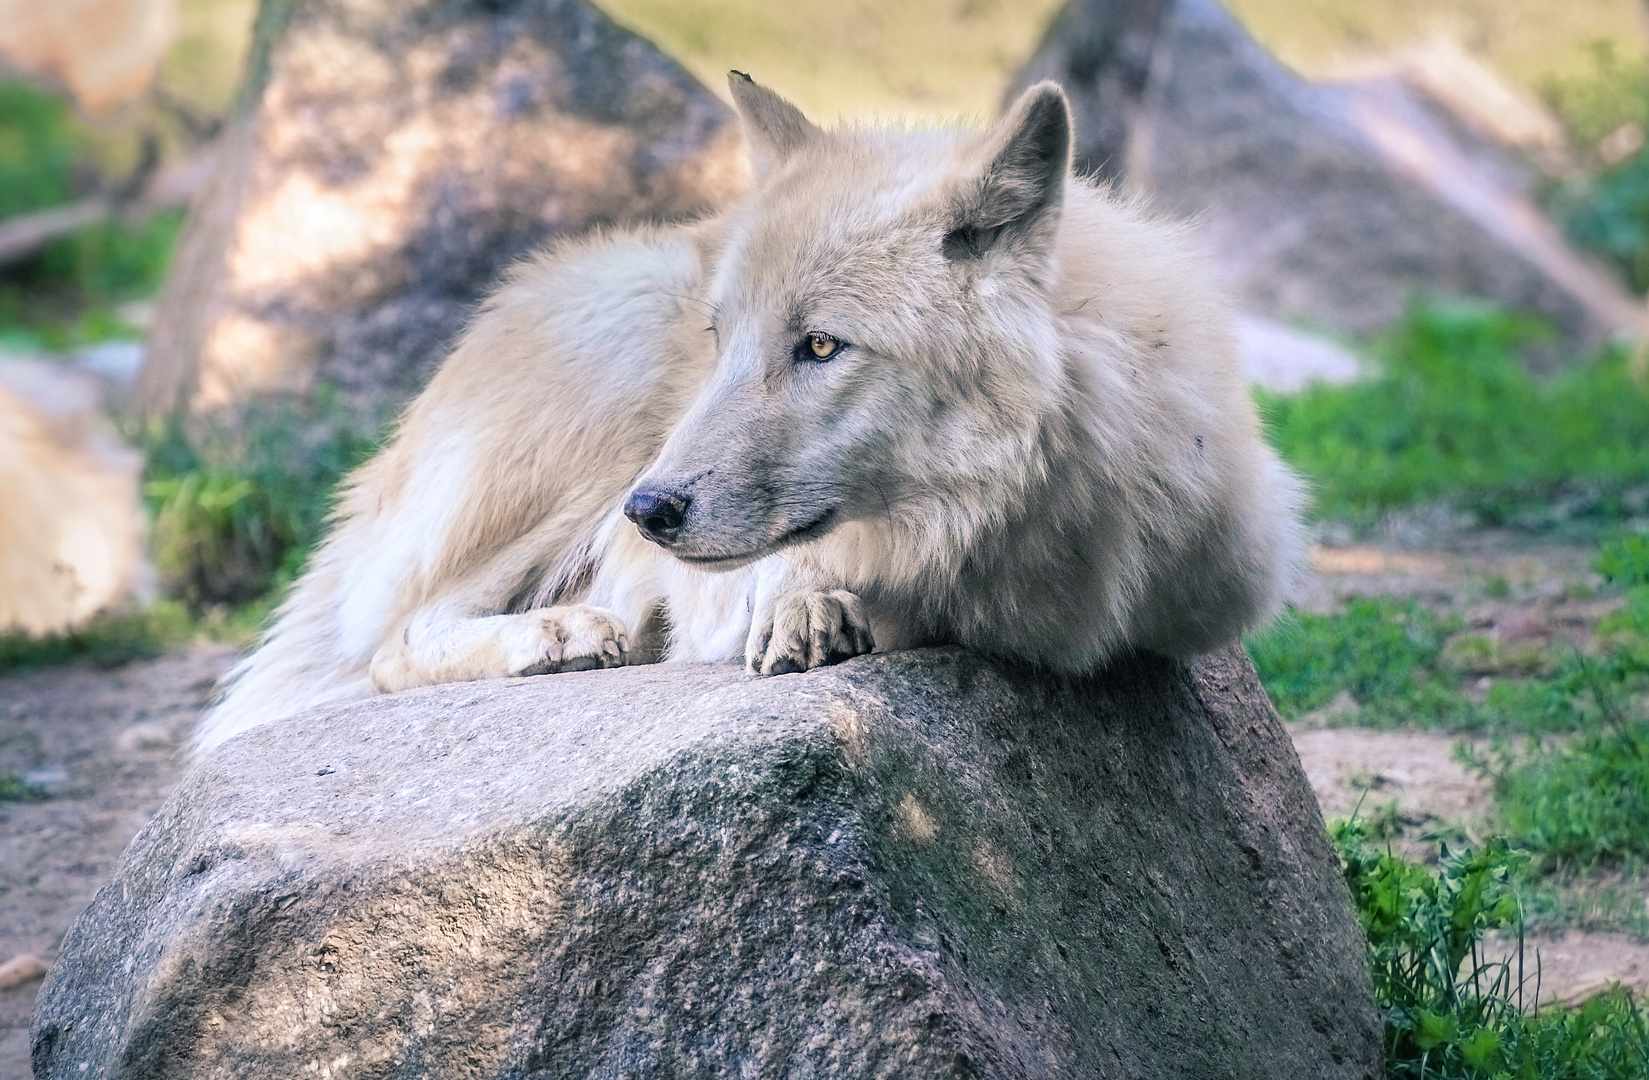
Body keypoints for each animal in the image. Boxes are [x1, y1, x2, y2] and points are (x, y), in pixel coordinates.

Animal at [189, 75, 1299, 755]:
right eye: (720, 338)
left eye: (821, 347)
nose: (649, 512)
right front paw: (813, 605)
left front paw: (845, 605)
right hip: (611, 381)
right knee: (392, 639)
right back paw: (566, 632)